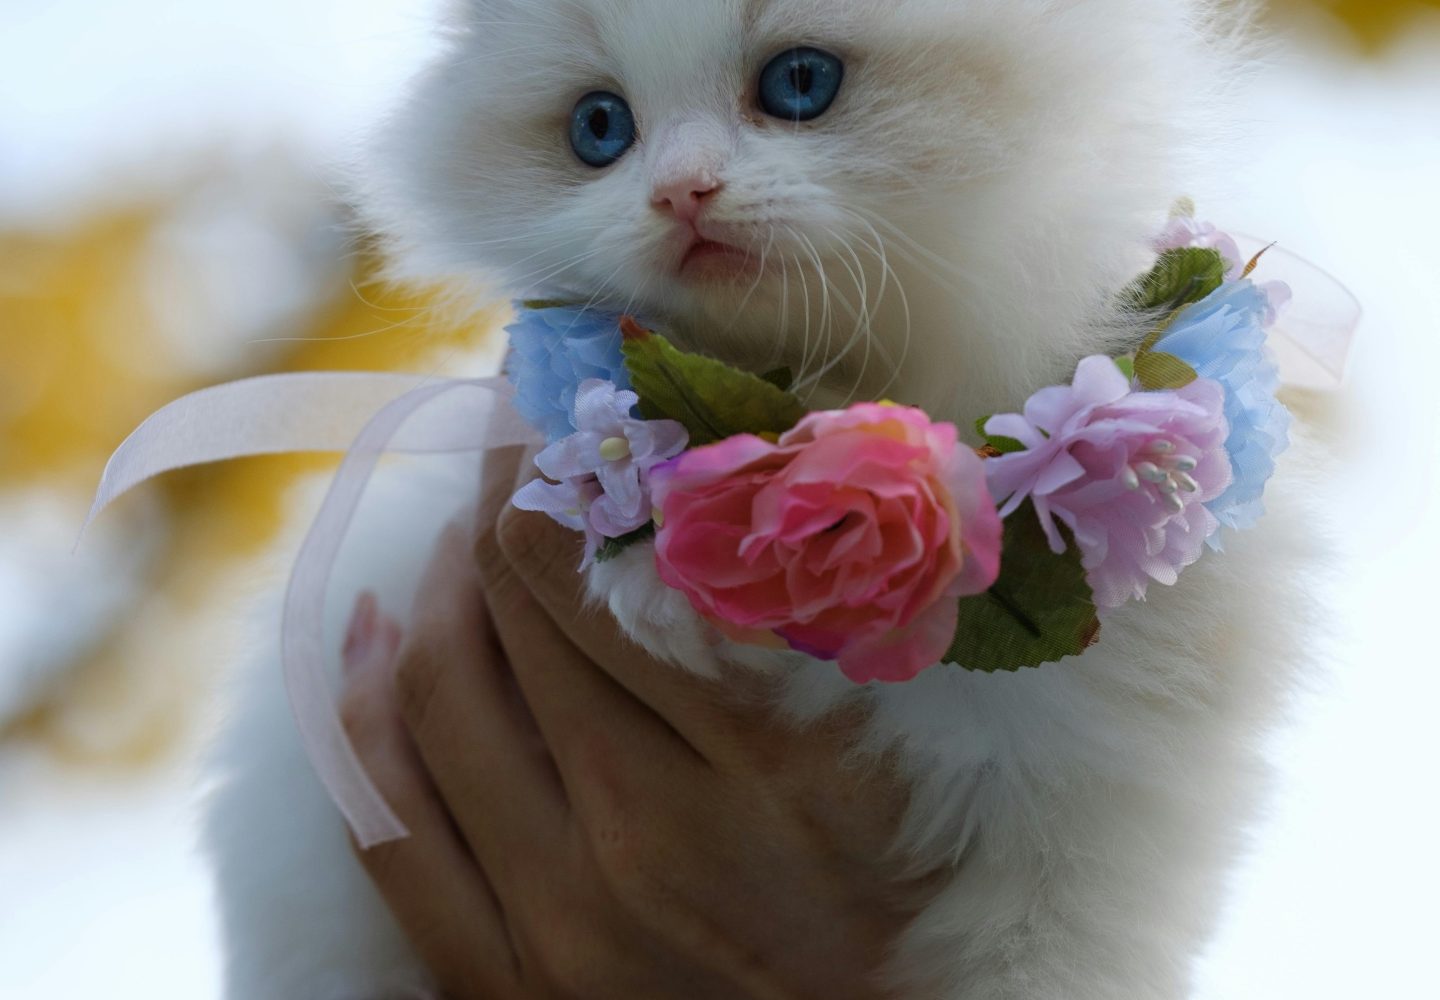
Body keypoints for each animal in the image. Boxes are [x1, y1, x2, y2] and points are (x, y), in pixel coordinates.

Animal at [213, 3, 1319, 997]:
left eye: (799, 83)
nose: (679, 192)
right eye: (600, 128)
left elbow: (1041, 962)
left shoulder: (1092, 828)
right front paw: (670, 576)